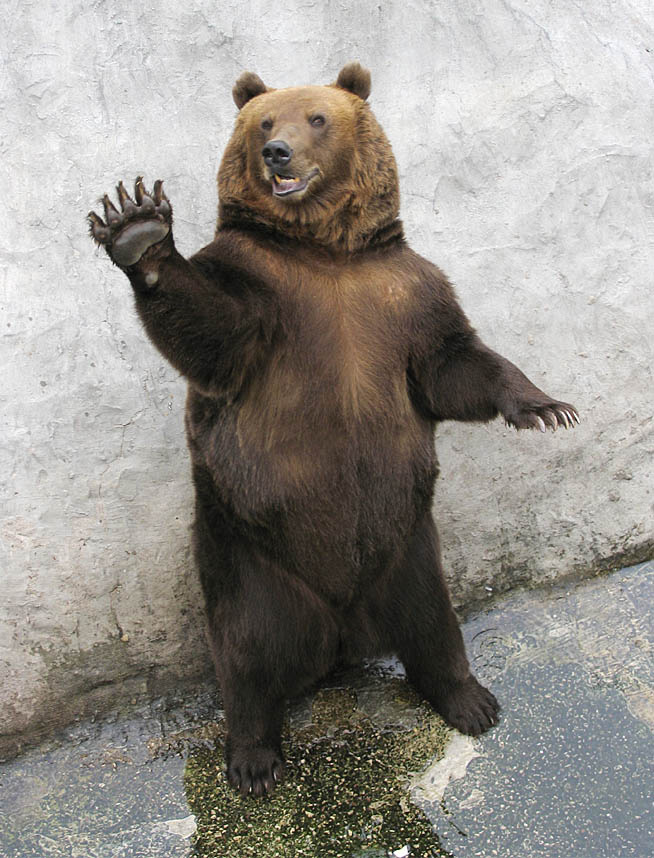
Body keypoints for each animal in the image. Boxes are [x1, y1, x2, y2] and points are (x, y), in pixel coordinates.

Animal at [88, 62, 578, 797]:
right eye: (265, 121)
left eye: (317, 119)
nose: (277, 152)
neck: (328, 253)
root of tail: (342, 629)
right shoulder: (259, 288)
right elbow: (213, 333)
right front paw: (138, 230)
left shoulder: (405, 293)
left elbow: (452, 363)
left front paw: (545, 406)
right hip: (249, 554)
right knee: (247, 658)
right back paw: (254, 759)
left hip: (408, 548)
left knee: (434, 623)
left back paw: (468, 699)